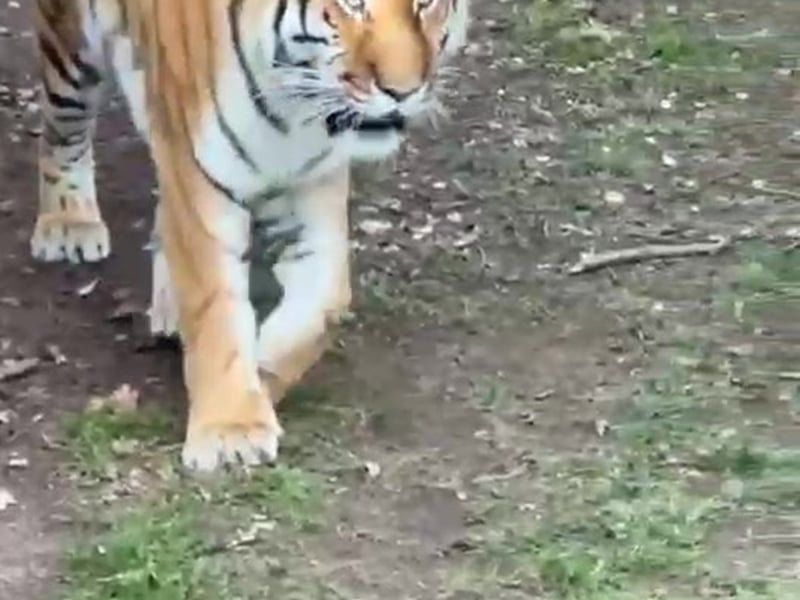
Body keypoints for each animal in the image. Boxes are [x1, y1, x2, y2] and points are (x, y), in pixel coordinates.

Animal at [30, 0, 470, 472]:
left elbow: (320, 309)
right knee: (63, 125)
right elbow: (215, 310)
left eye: (425, 6)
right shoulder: (199, 183)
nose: (403, 92)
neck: (293, 108)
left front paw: (258, 378)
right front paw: (230, 429)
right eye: (352, 6)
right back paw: (69, 223)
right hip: (71, 47)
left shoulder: (315, 191)